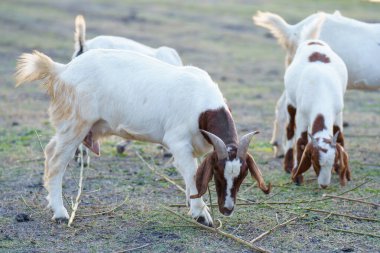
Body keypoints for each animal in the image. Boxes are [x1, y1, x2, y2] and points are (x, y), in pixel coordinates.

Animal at [14, 49, 270, 225]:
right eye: (217, 172)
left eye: (242, 175)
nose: (227, 209)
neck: (202, 107)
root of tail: (62, 70)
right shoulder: (178, 141)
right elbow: (191, 172)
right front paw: (201, 213)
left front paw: (192, 203)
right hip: (76, 122)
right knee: (55, 159)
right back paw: (59, 212)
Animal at [284, 13, 352, 188]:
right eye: (315, 162)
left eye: (334, 161)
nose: (324, 185)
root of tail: (312, 41)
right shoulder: (302, 113)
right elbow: (301, 141)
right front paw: (297, 176)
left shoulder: (338, 111)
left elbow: (340, 138)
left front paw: (345, 174)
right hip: (291, 101)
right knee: (289, 129)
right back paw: (288, 165)